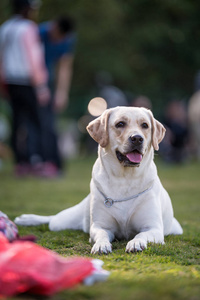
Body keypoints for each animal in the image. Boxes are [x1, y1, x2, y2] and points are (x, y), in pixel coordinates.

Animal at [14, 105, 182, 253]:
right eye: (120, 124)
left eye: (145, 125)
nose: (137, 138)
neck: (124, 179)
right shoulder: (100, 226)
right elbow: (101, 235)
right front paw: (101, 245)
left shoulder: (153, 228)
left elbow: (141, 235)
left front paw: (136, 243)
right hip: (62, 222)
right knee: (51, 219)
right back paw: (27, 219)